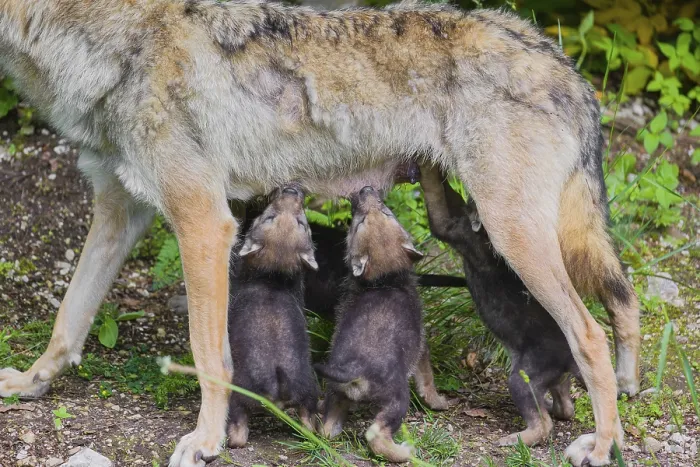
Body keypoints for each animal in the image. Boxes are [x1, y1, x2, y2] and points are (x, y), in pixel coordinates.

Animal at [316, 186, 437, 463]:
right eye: (358, 222)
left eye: (386, 213)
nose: (365, 188)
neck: (384, 280)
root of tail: (353, 369)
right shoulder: (422, 347)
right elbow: (428, 381)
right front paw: (440, 402)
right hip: (396, 400)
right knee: (376, 436)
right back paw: (404, 451)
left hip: (336, 394)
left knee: (327, 430)